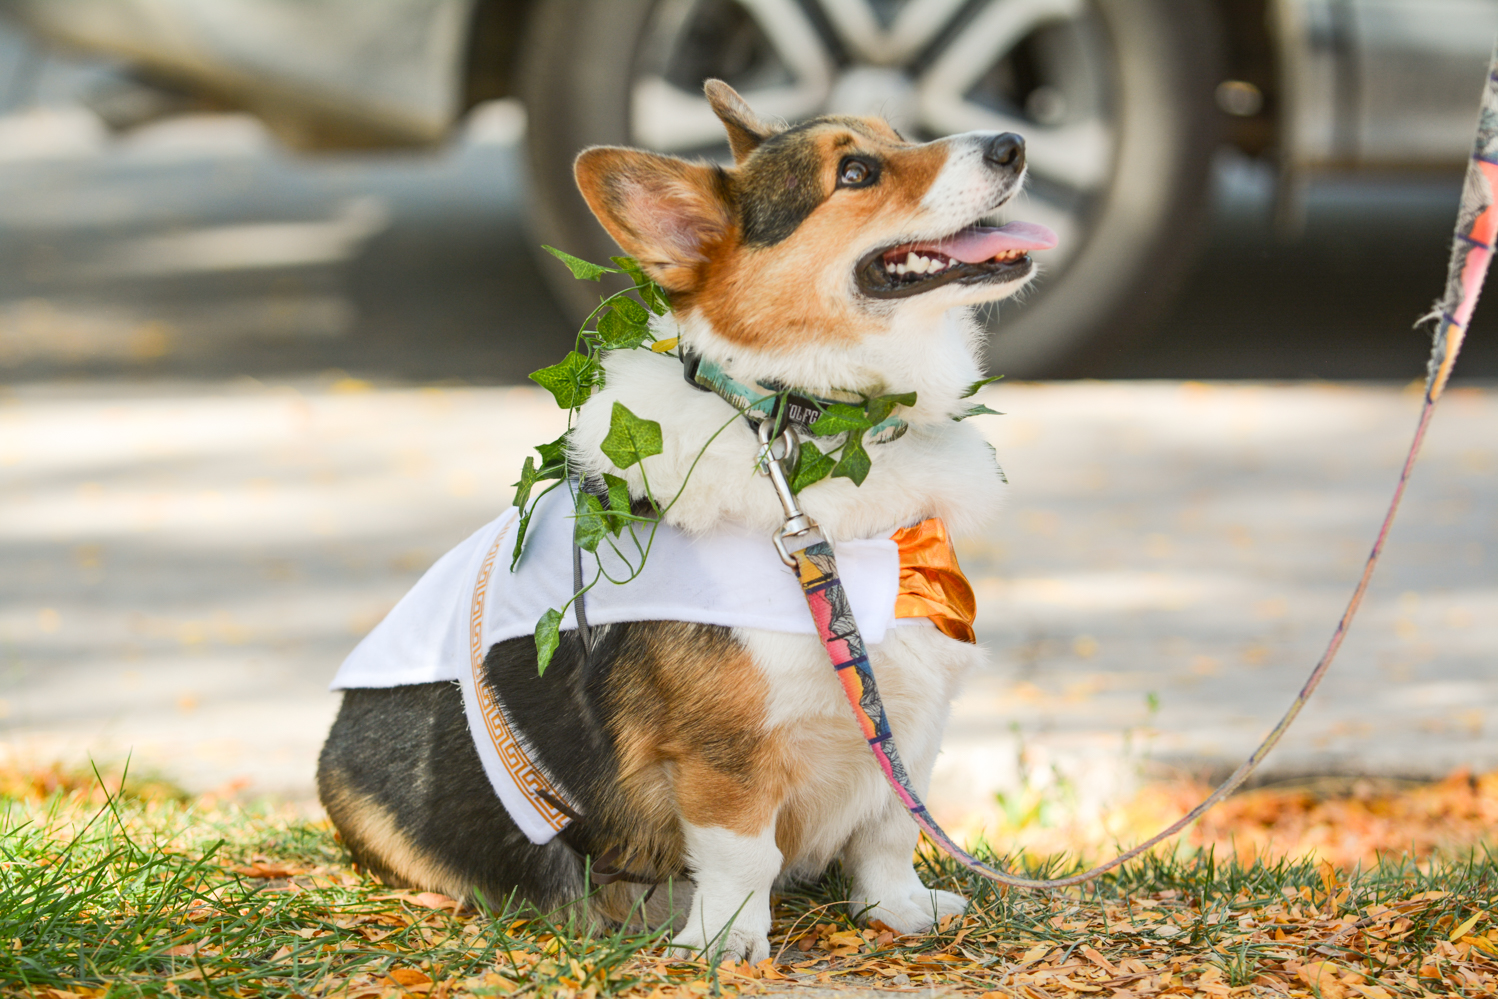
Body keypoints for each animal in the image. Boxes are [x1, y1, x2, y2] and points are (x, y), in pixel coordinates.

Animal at [319, 80, 1054, 970]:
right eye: (855, 172)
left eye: (896, 135)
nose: (1013, 144)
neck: (812, 426)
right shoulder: (722, 755)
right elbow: (743, 851)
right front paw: (728, 939)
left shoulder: (907, 715)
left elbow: (886, 829)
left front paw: (899, 909)